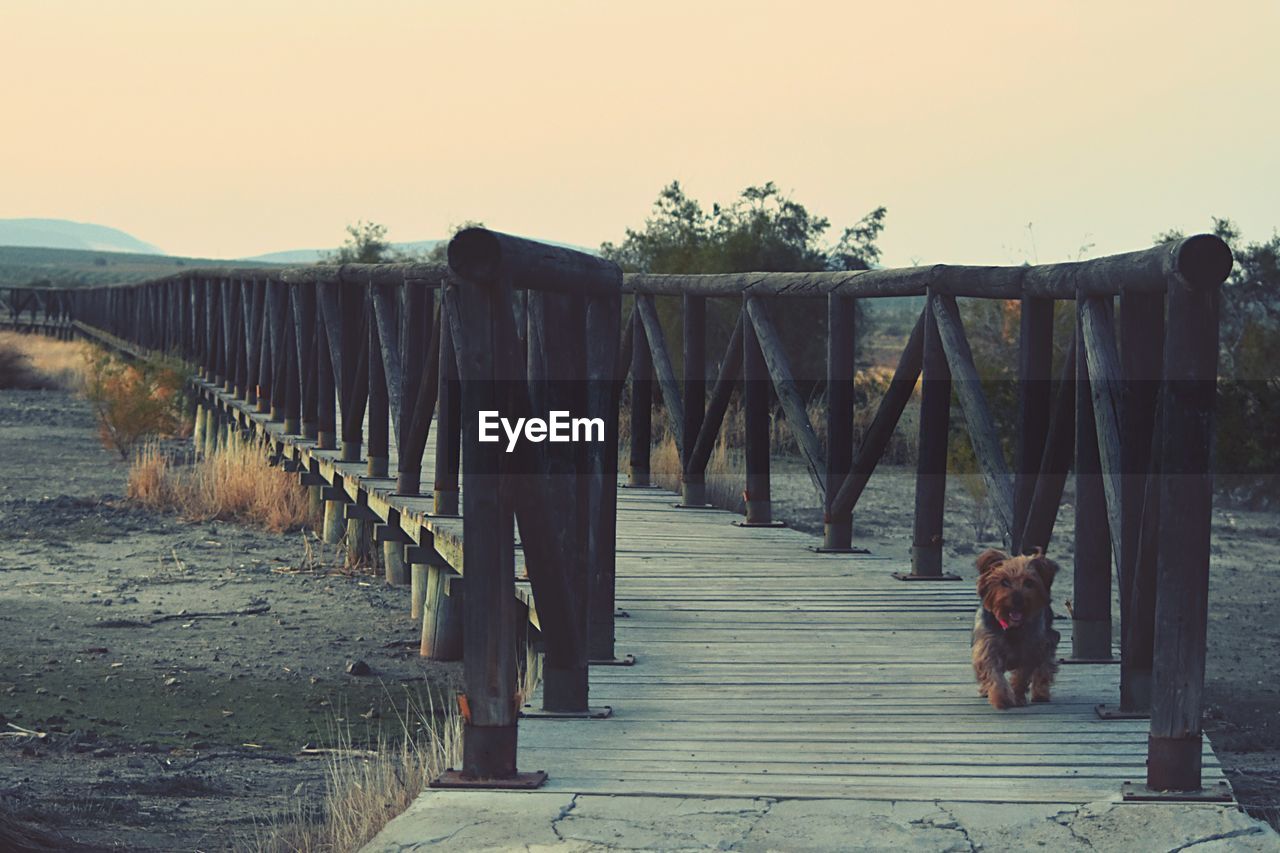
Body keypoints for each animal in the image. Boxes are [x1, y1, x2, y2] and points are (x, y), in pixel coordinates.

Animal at [967, 548, 1059, 706]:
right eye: (1004, 581)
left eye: (1029, 582)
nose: (1017, 599)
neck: (1012, 628)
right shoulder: (988, 646)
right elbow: (993, 673)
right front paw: (1002, 698)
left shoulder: (1033, 647)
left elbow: (1022, 675)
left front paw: (1017, 695)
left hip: (1047, 639)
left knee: (1044, 667)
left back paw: (1040, 694)